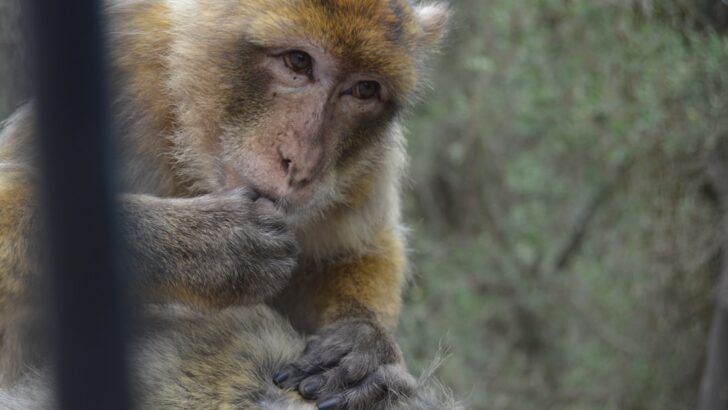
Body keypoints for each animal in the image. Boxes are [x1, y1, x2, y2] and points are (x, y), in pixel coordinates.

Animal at [0, 0, 450, 408]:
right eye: (299, 61)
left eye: (364, 89)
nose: (302, 163)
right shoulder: (120, 64)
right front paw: (211, 244)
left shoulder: (369, 163)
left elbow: (362, 249)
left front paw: (363, 342)